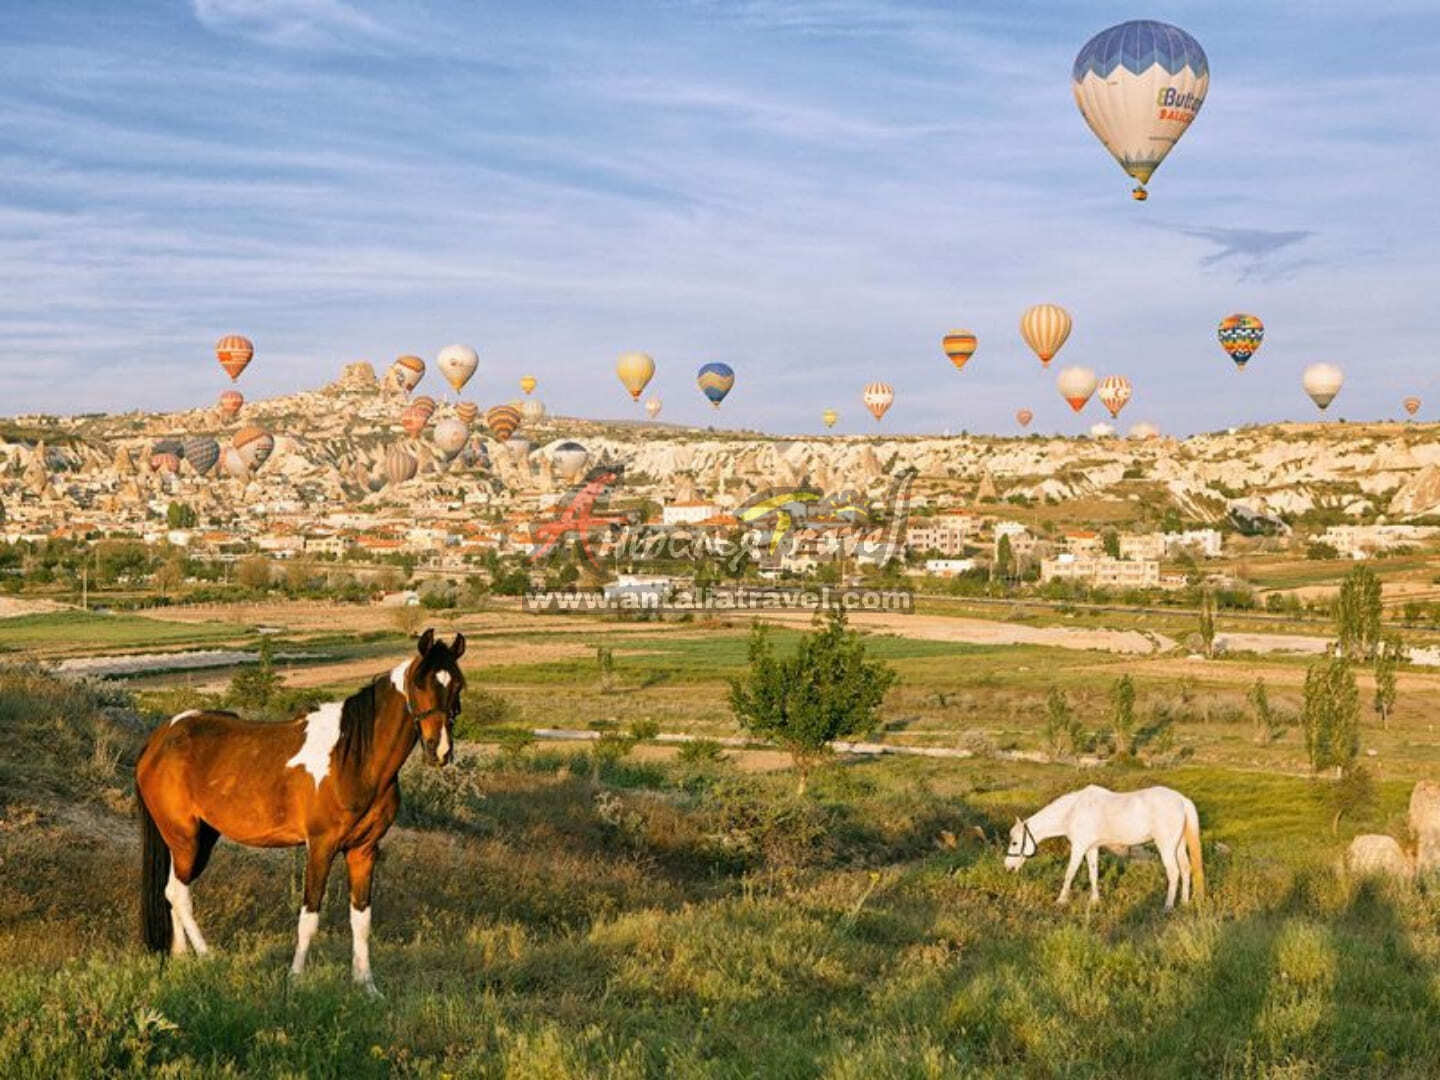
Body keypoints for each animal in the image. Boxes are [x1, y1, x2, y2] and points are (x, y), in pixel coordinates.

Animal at [133, 630, 460, 996]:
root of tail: (161, 737)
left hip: (197, 839)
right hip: (185, 838)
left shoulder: (364, 850)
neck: (355, 757)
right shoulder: (320, 846)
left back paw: (181, 959)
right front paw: (296, 979)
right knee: (179, 894)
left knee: (173, 892)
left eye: (458, 684)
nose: (439, 750)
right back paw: (209, 958)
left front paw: (366, 986)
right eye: (419, 683)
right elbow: (310, 916)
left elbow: (361, 919)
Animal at [1002, 789, 1203, 910]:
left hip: (1166, 846)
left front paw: (1061, 900)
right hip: (1178, 846)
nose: (1008, 867)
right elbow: (1093, 874)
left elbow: (1070, 873)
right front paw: (1095, 901)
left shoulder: (1079, 848)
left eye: (1014, 842)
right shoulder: (1091, 849)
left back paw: (1167, 907)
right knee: (1186, 869)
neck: (1073, 811)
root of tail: (1182, 800)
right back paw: (1184, 903)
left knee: (1174, 872)